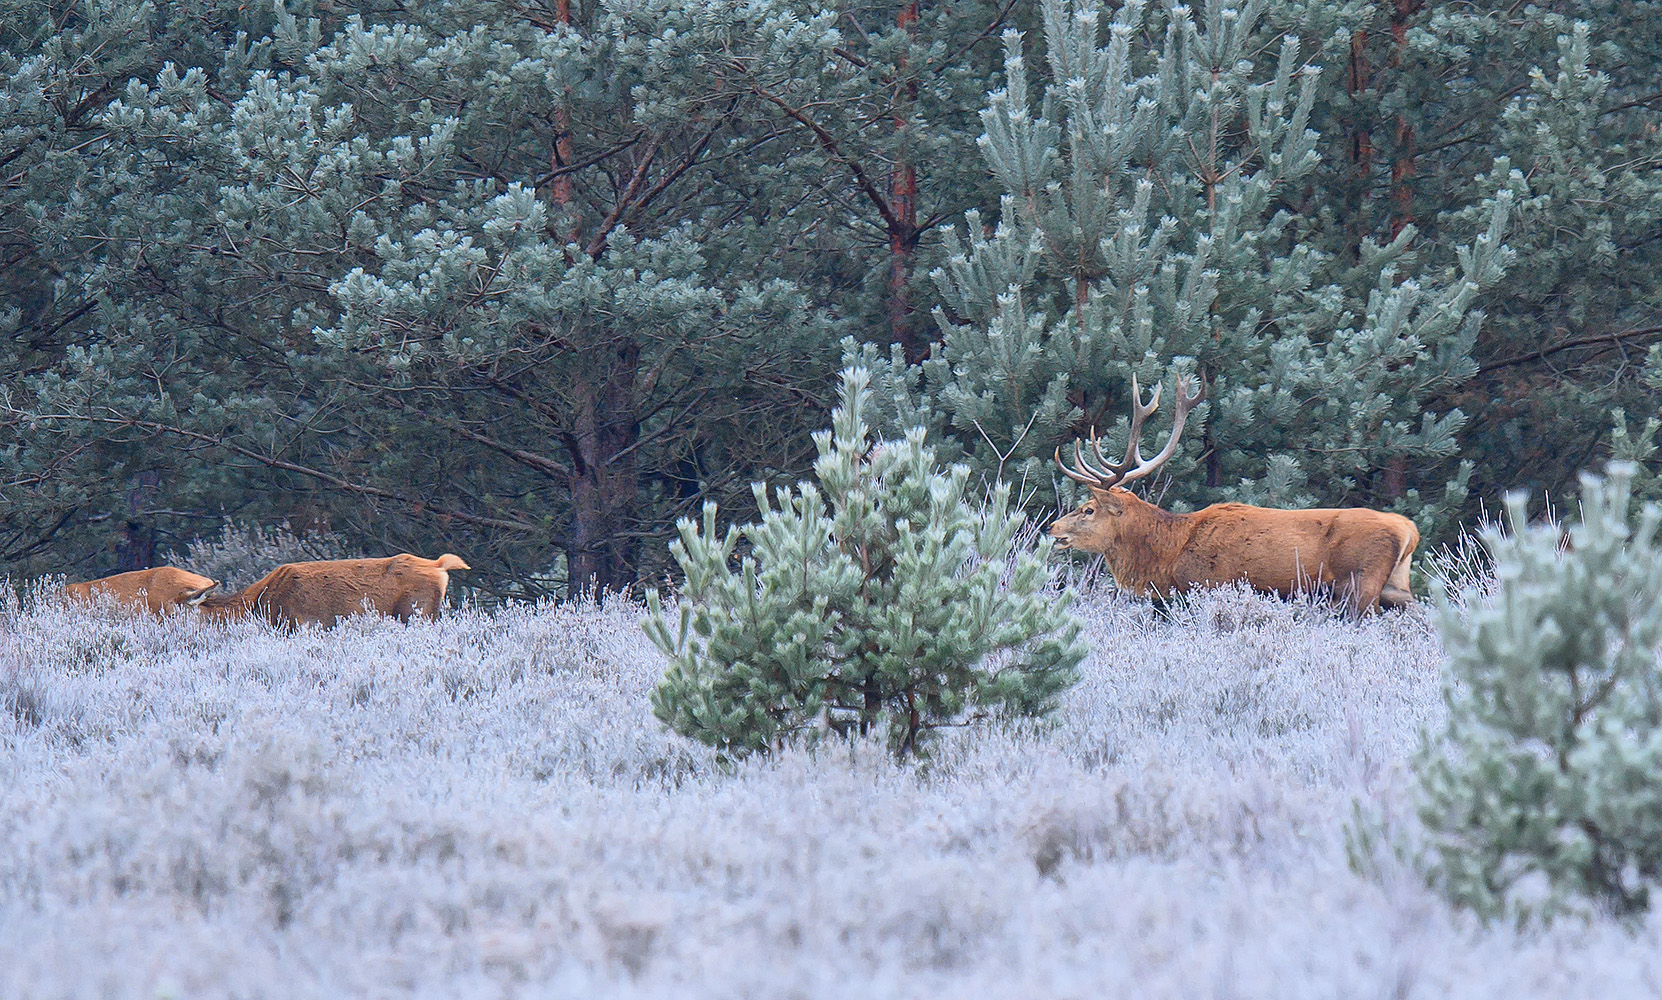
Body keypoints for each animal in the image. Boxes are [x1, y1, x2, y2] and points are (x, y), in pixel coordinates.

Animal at [1050, 373, 1416, 611]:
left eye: (1089, 509)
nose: (1052, 527)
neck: (1170, 554)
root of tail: (1409, 531)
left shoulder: (1207, 585)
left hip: (1360, 582)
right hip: (1396, 586)